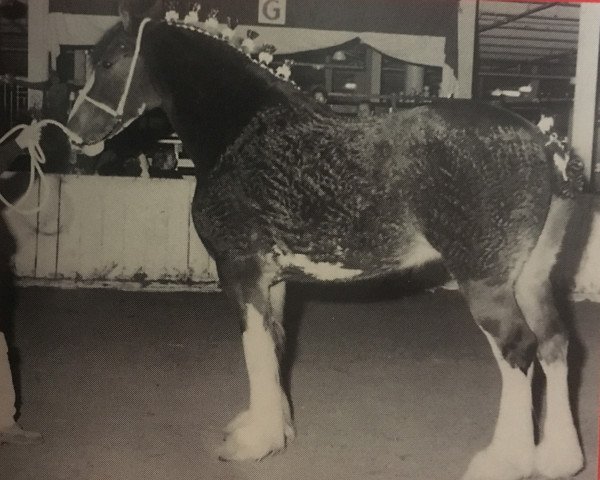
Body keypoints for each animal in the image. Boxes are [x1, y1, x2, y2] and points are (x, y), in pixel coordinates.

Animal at [67, 4, 584, 480]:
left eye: (108, 62)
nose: (74, 132)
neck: (245, 131)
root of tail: (542, 141)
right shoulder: (274, 280)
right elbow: (274, 343)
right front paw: (275, 427)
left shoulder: (240, 269)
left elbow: (253, 344)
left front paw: (255, 443)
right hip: (531, 278)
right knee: (555, 342)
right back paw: (558, 458)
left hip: (486, 282)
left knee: (518, 348)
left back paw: (504, 462)